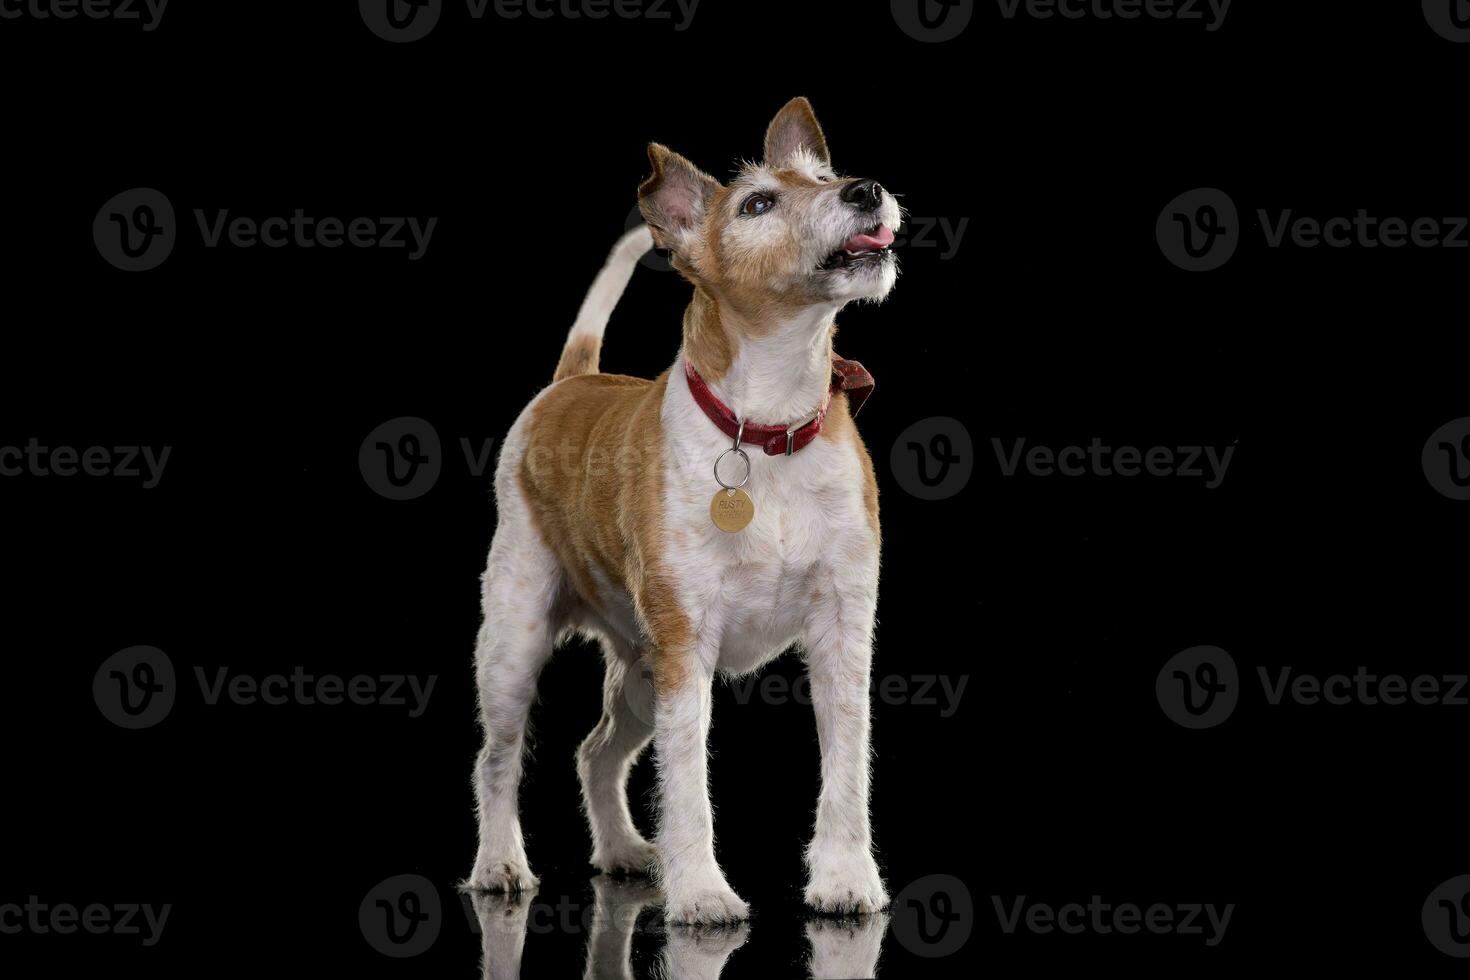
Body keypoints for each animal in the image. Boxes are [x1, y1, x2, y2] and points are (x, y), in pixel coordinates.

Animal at [470, 95, 899, 922]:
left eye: (823, 176)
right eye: (758, 203)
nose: (865, 189)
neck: (768, 430)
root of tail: (573, 380)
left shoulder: (843, 636)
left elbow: (849, 769)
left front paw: (844, 878)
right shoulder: (685, 655)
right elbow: (689, 787)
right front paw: (701, 891)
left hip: (638, 673)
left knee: (596, 751)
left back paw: (622, 850)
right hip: (518, 646)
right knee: (498, 758)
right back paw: (500, 862)